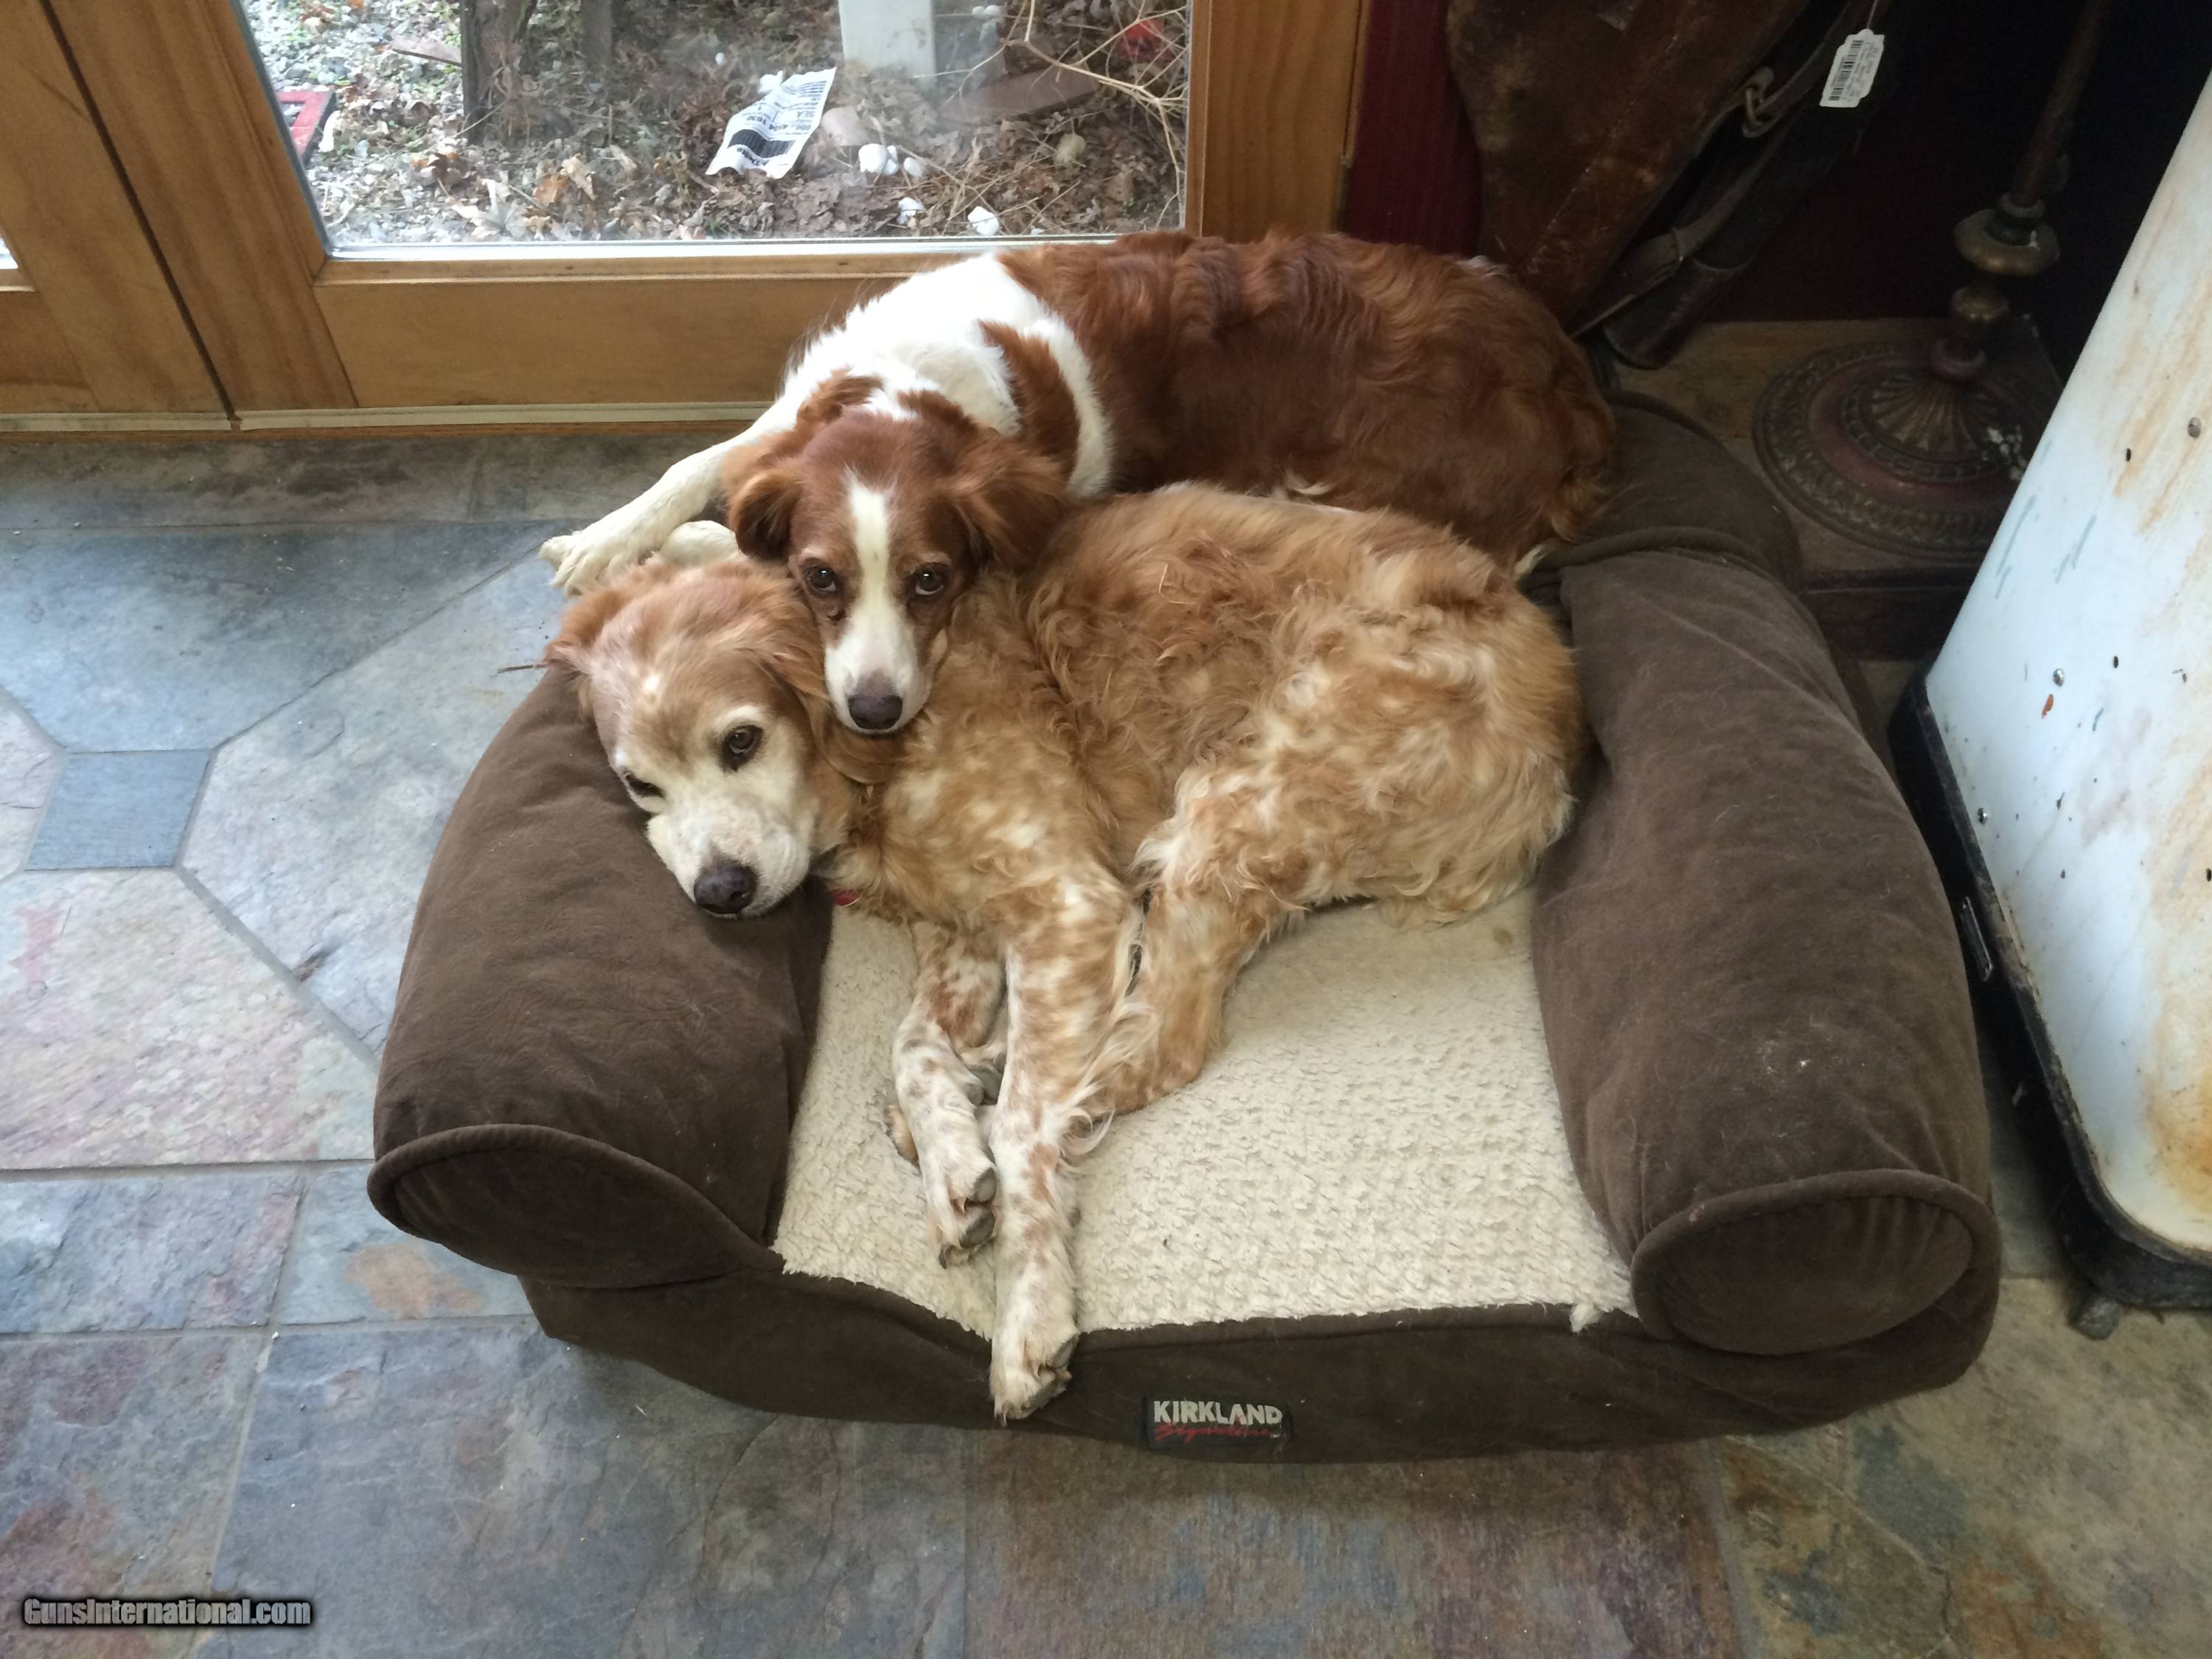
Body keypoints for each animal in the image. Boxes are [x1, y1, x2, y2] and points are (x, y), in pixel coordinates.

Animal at [540, 231, 1611, 735]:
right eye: (823, 580)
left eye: (933, 581)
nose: (875, 715)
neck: (918, 379)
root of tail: (1573, 383)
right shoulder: (793, 422)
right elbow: (700, 462)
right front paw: (609, 537)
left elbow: (725, 520)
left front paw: (682, 545)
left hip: (1330, 491)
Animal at [547, 485, 1585, 1420]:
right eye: (640, 786)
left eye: (741, 741)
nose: (718, 894)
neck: (884, 752)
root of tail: (1557, 735)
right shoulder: (964, 931)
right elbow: (912, 1047)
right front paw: (948, 1158)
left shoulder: (1066, 903)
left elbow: (1016, 1123)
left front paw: (1028, 1311)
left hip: (1233, 808)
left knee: (1157, 1049)